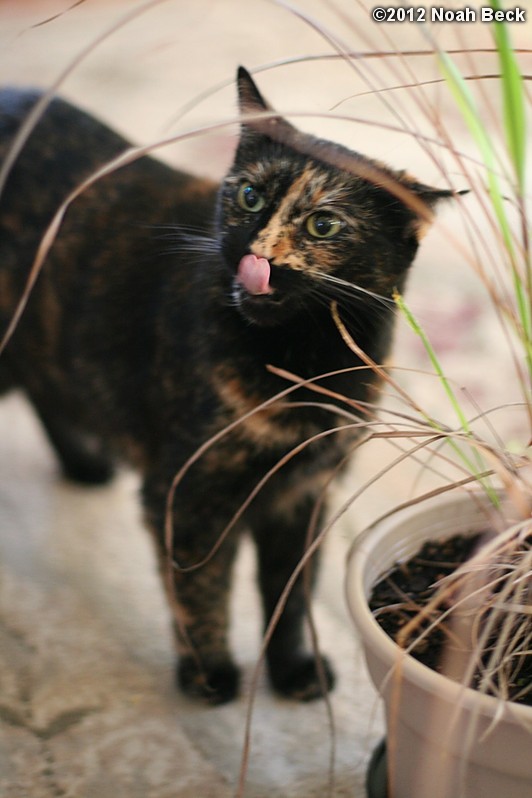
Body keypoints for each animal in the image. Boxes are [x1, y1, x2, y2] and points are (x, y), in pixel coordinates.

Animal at [0, 69, 454, 708]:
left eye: (323, 224)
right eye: (249, 196)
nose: (253, 253)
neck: (305, 370)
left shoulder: (304, 493)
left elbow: (291, 595)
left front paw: (293, 670)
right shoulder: (191, 496)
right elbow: (201, 592)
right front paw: (208, 674)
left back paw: (85, 466)